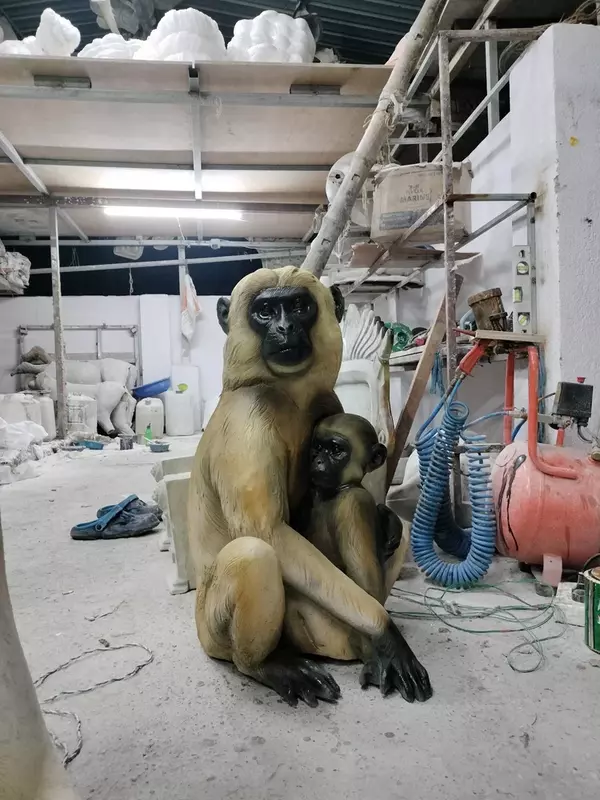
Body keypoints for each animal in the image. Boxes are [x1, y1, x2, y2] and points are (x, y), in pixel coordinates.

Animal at [187, 266, 431, 707]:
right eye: (265, 311)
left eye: (299, 306)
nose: (284, 328)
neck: (282, 393)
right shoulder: (248, 422)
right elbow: (269, 532)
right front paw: (384, 629)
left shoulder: (326, 402)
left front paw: (384, 517)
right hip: (234, 630)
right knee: (253, 554)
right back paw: (266, 665)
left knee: (395, 527)